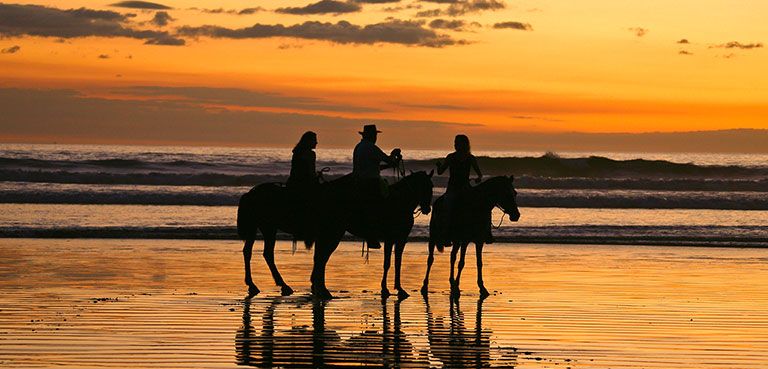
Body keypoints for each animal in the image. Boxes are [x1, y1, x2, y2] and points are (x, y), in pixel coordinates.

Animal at [310, 171, 432, 300]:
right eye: (423, 187)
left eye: (431, 186)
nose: (427, 209)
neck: (400, 203)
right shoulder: (390, 239)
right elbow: (387, 264)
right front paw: (385, 289)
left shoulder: (401, 240)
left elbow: (398, 263)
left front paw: (399, 288)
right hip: (334, 232)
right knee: (322, 258)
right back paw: (323, 290)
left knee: (320, 258)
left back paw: (319, 288)